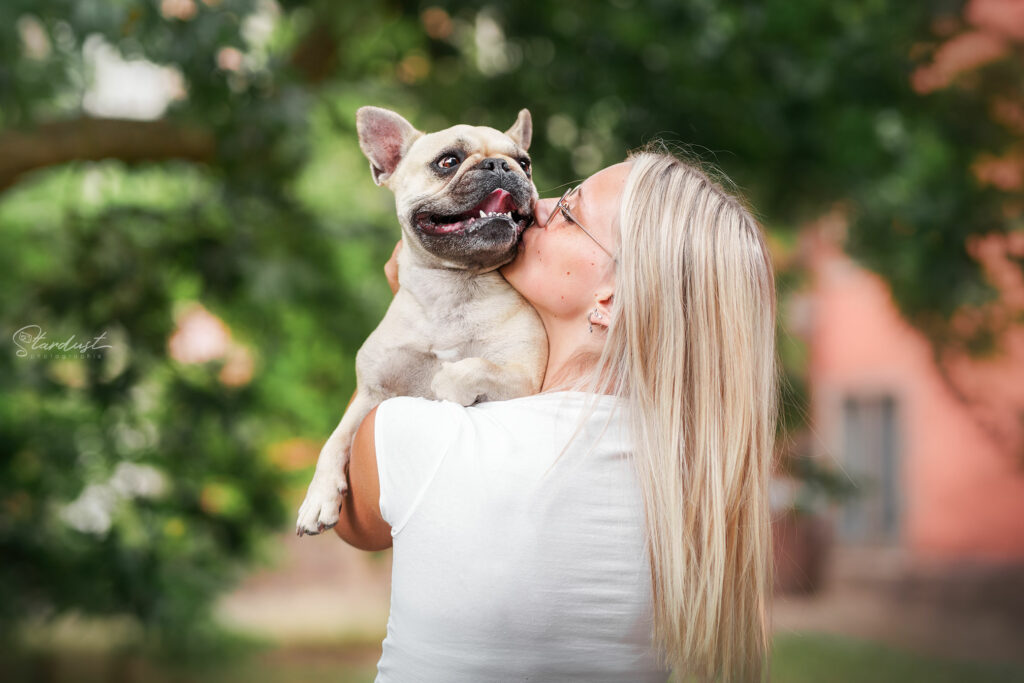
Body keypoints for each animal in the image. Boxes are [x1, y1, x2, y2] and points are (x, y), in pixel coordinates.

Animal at [295, 106, 548, 536]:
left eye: (526, 164)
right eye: (448, 162)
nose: (501, 165)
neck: (453, 285)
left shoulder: (524, 377)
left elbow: (473, 367)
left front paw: (447, 381)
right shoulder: (371, 395)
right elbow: (335, 441)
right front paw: (317, 499)